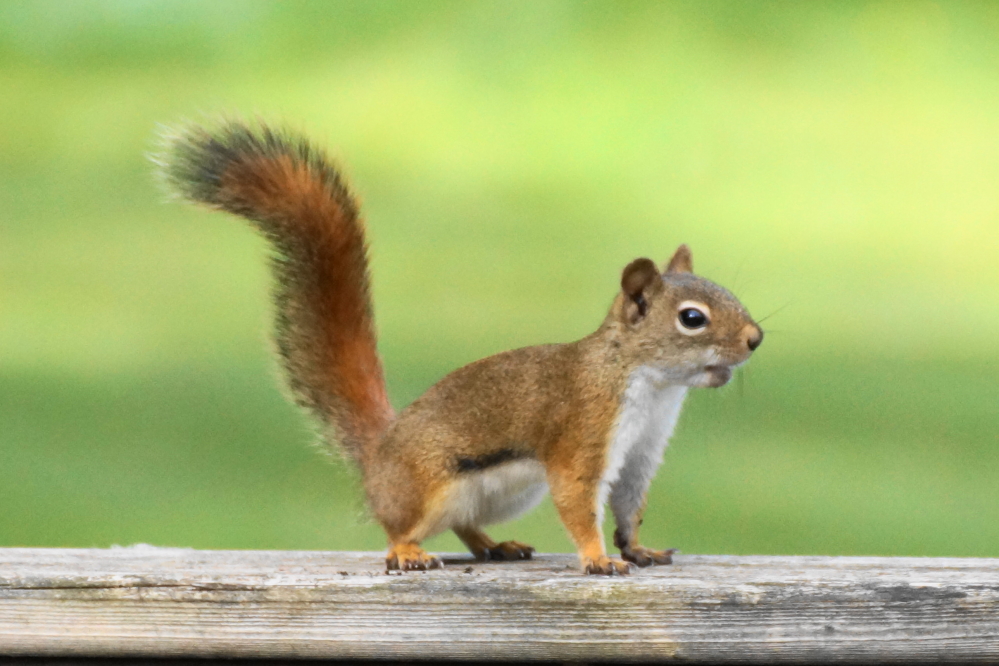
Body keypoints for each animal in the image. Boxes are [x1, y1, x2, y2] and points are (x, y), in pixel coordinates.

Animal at [156, 119, 763, 575]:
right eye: (692, 319)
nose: (755, 339)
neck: (650, 384)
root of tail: (380, 455)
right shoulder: (582, 432)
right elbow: (579, 502)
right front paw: (598, 559)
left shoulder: (641, 451)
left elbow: (629, 506)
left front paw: (637, 549)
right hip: (430, 488)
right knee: (400, 527)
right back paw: (408, 552)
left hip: (507, 493)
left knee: (465, 526)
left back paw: (497, 546)